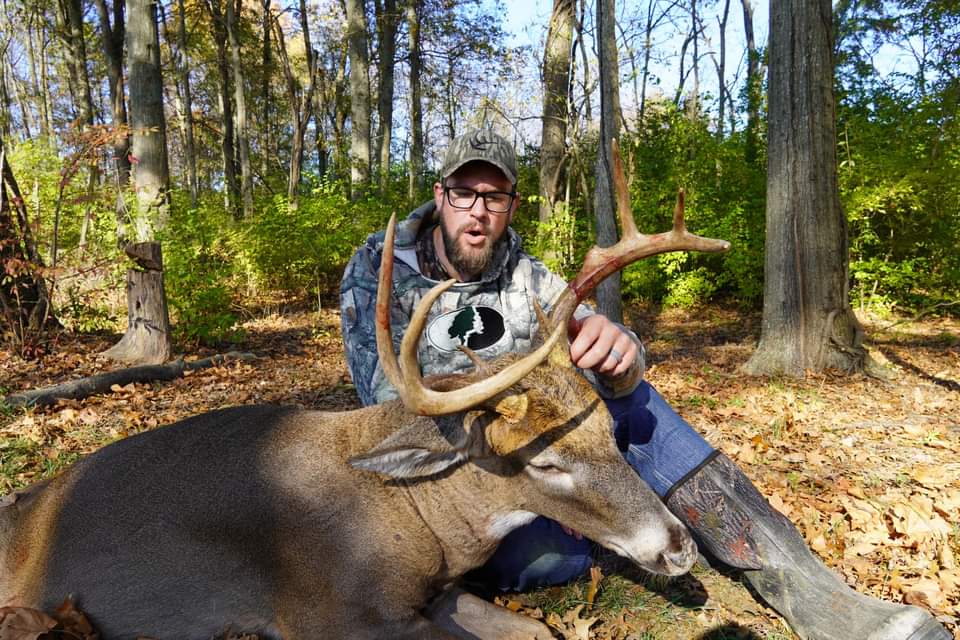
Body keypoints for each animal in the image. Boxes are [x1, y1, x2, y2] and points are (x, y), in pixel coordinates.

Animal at [0, 143, 729, 639]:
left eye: (610, 431)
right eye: (546, 462)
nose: (678, 546)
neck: (413, 515)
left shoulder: (432, 593)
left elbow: (536, 630)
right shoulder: (330, 610)